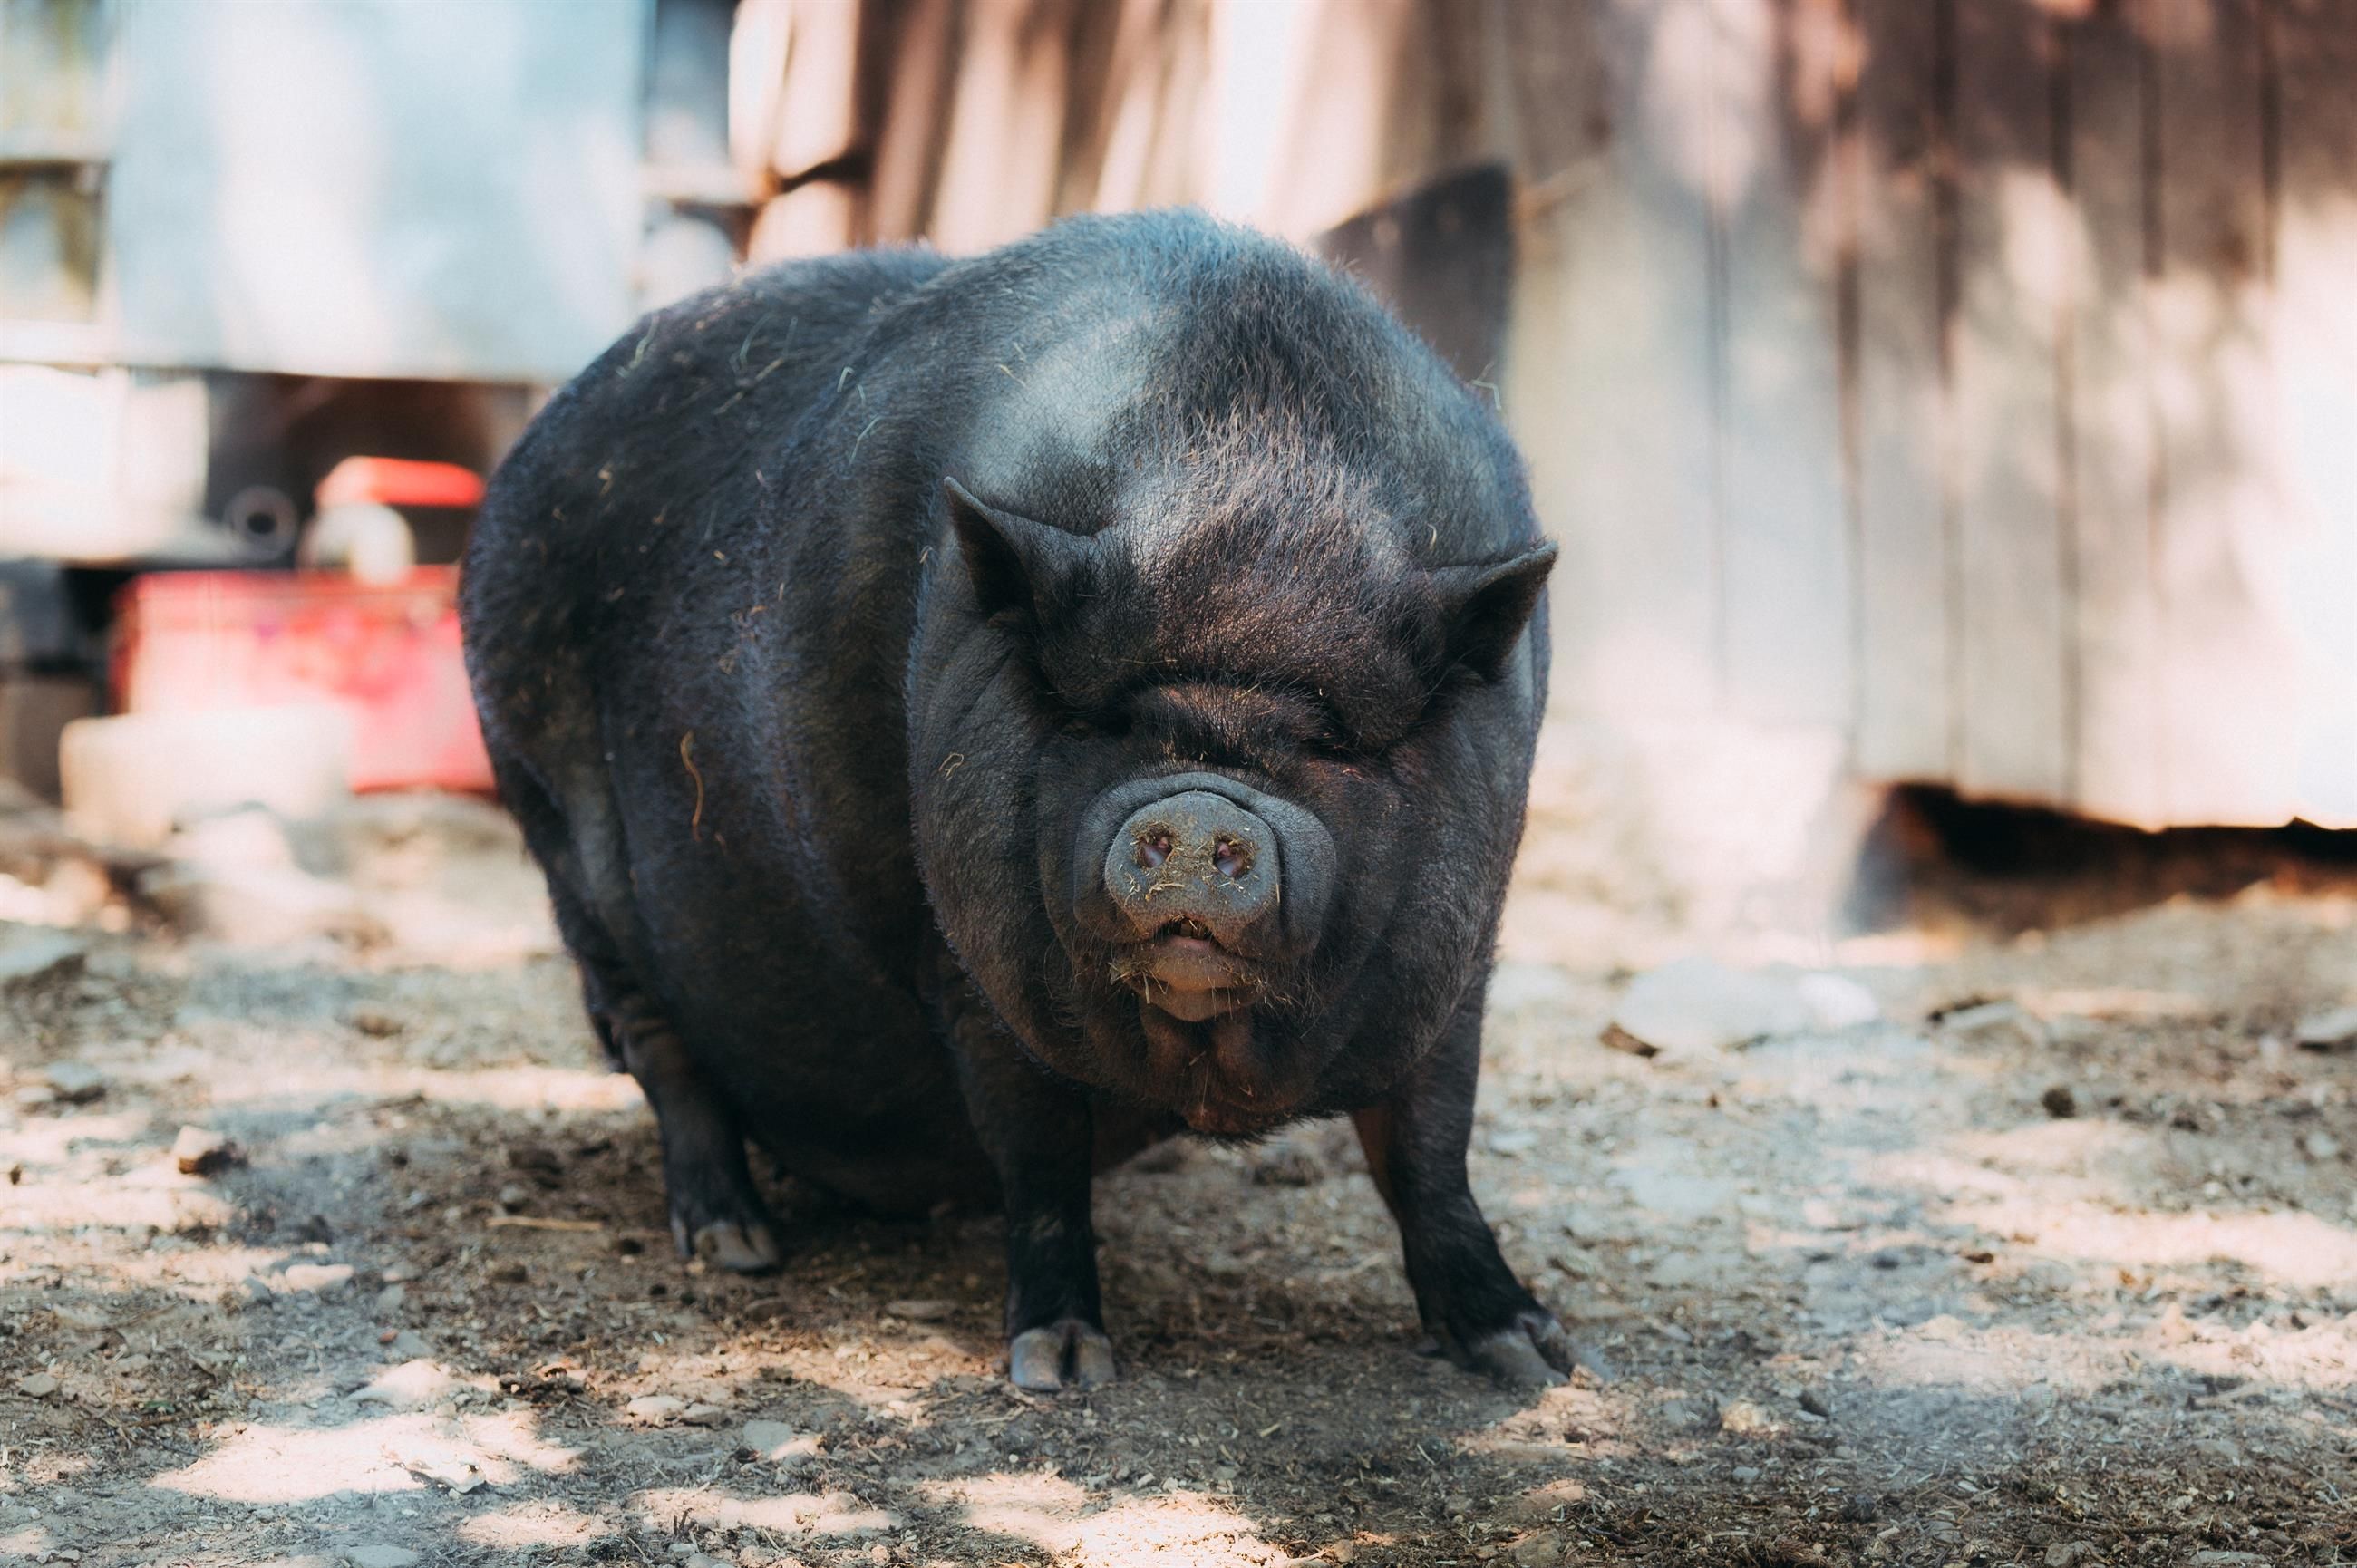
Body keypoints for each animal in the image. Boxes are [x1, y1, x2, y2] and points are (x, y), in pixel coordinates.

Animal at [459, 210, 1573, 1389]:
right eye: (1105, 722)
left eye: (1327, 742)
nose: (1204, 815)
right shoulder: (959, 945)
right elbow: (1036, 1151)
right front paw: (1063, 1366)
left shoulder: (1460, 947)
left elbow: (1429, 1144)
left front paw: (1529, 1353)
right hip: (554, 831)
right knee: (666, 1057)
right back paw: (734, 1245)